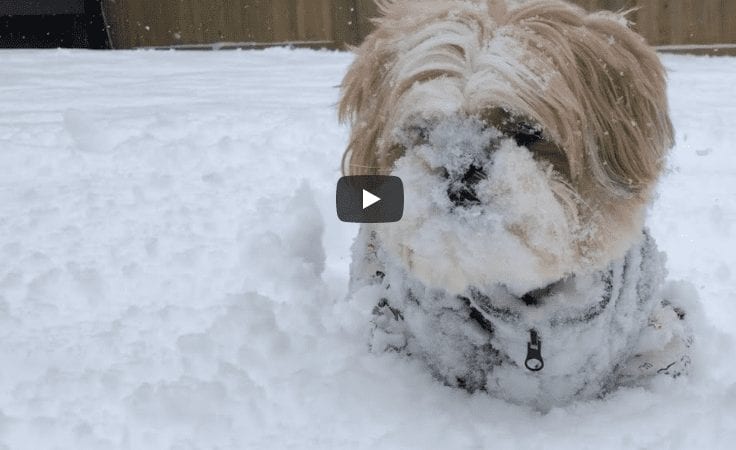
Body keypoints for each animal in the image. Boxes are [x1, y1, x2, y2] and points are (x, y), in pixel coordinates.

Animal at [340, 0, 696, 408]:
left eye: (527, 133)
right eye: (425, 132)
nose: (459, 168)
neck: (530, 306)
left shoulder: (658, 332)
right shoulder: (394, 324)